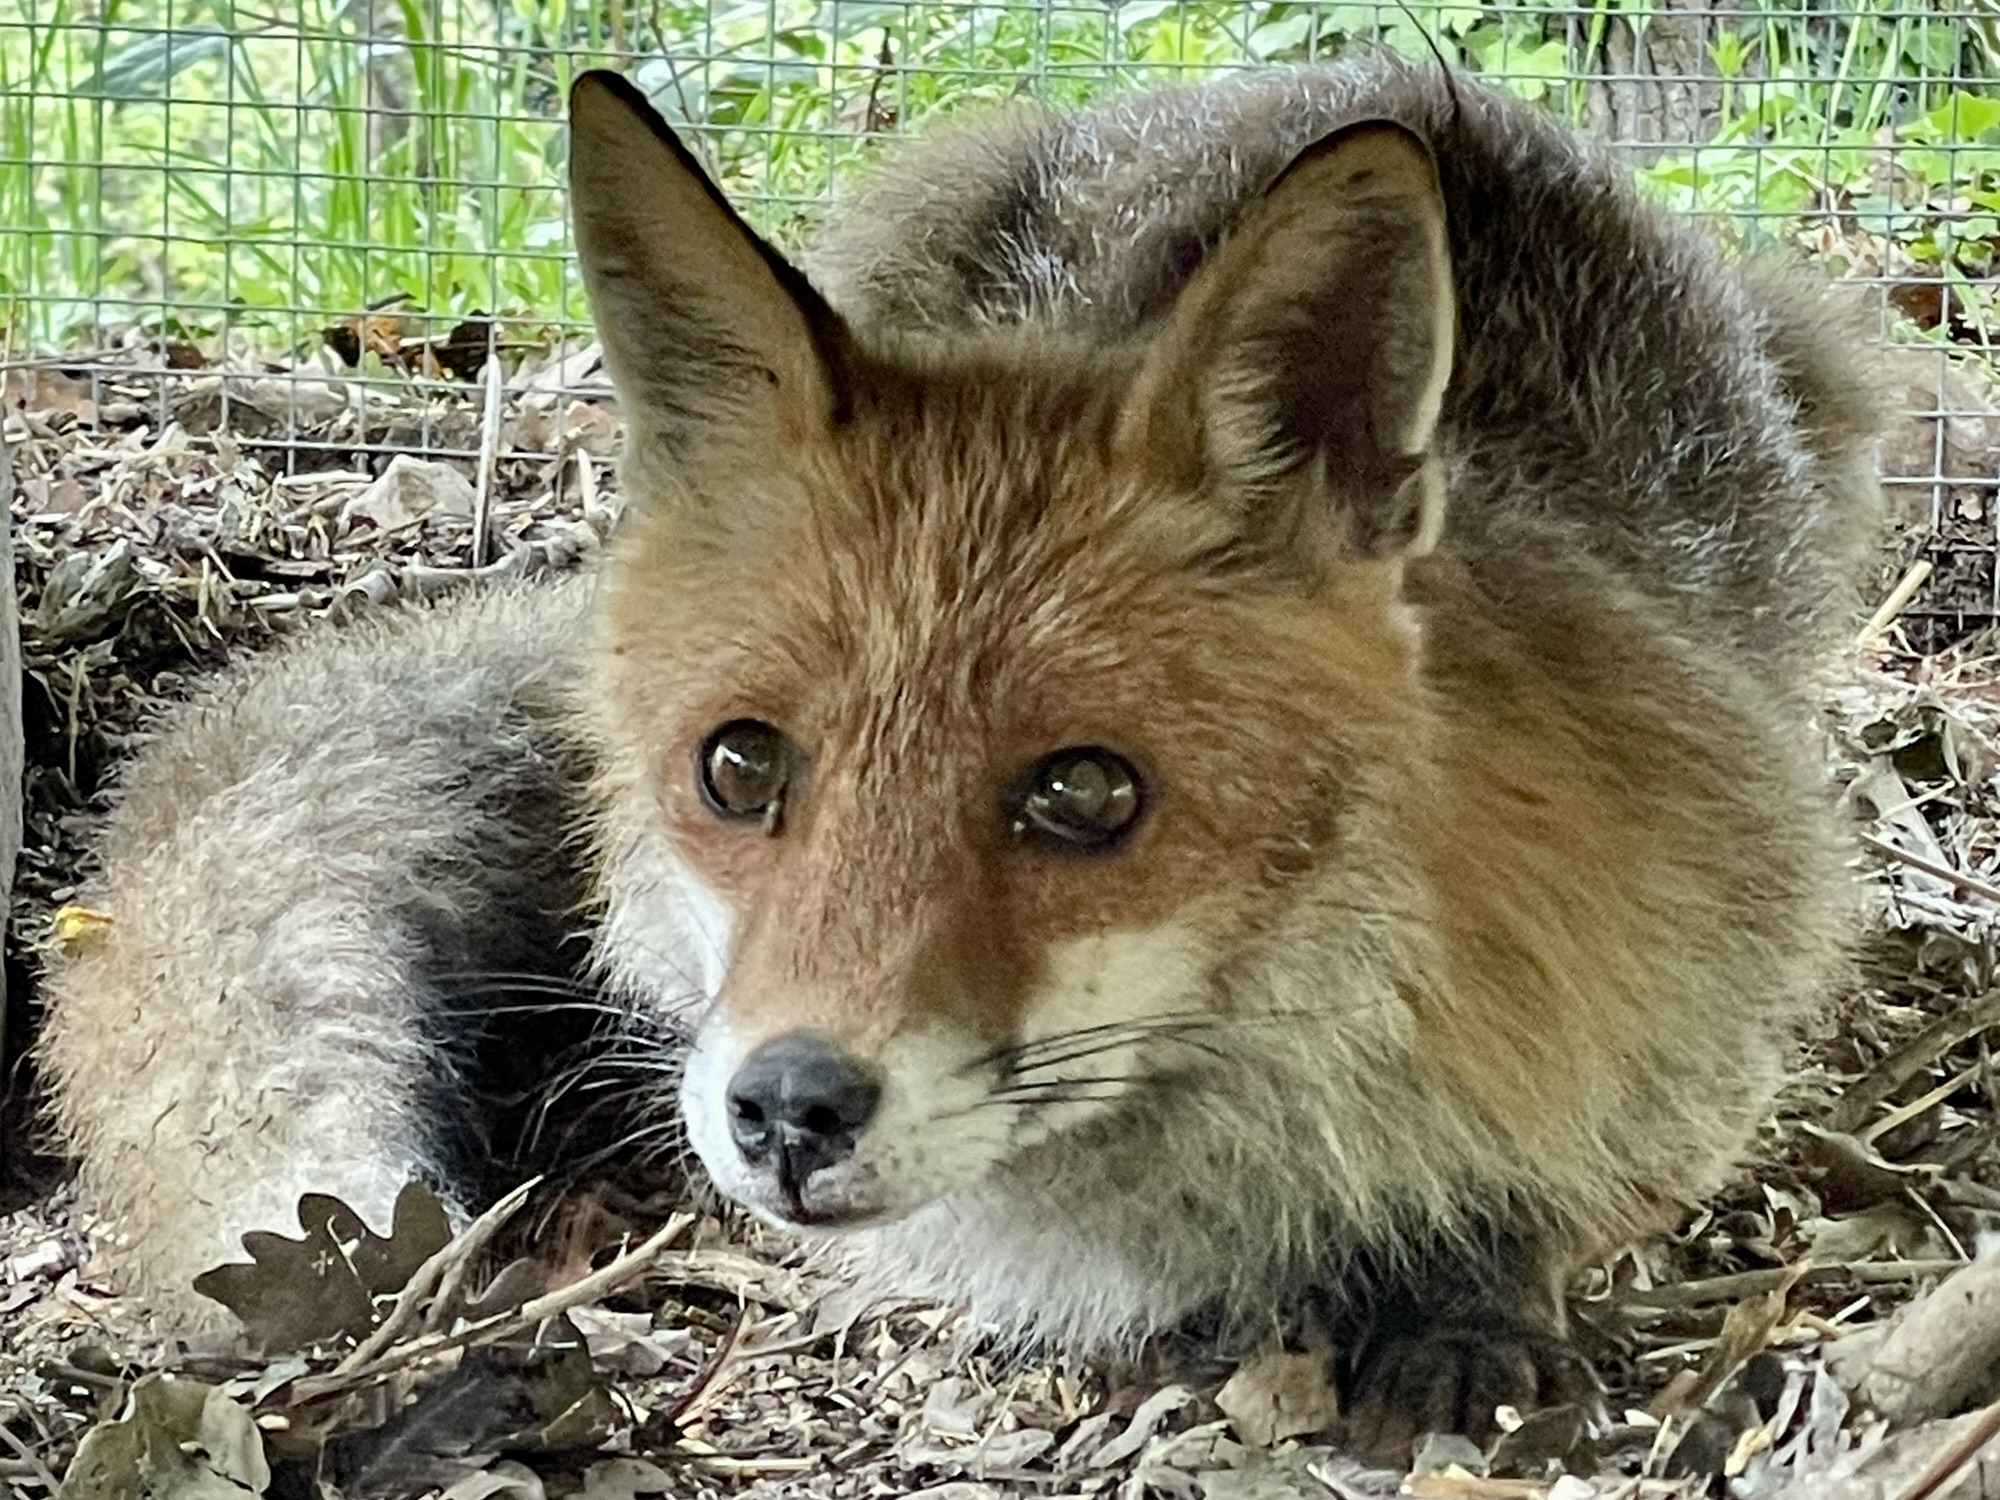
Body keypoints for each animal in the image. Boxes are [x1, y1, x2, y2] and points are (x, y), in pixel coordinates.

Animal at [39, 57, 1880, 1460]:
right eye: (739, 771)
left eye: (1085, 793)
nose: (785, 1108)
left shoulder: (1720, 956)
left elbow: (1581, 1185)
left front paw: (1468, 1298)